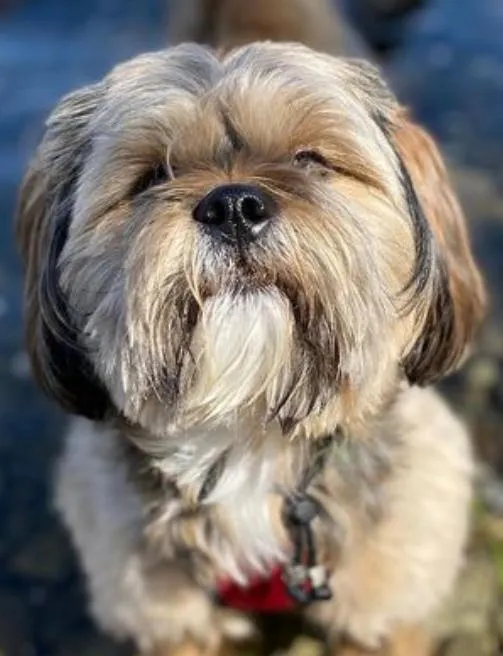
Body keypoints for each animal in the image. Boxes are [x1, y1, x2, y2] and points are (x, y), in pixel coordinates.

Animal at [15, 1, 486, 656]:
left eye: (309, 160)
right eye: (152, 176)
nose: (233, 205)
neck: (249, 436)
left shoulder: (384, 609)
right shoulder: (170, 618)